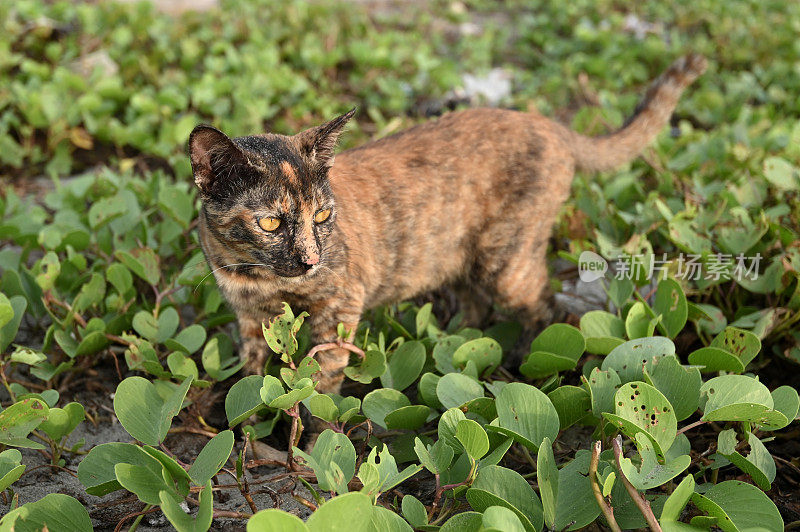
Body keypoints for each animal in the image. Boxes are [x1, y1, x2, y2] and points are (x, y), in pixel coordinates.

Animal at [188, 54, 708, 394]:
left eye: (322, 215)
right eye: (271, 222)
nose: (312, 259)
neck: (257, 277)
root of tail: (552, 125)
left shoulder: (339, 306)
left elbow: (324, 375)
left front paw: (314, 440)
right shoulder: (249, 319)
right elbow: (251, 375)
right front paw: (247, 424)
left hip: (506, 263)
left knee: (547, 304)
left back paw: (527, 359)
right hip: (464, 258)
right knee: (476, 303)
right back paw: (452, 338)